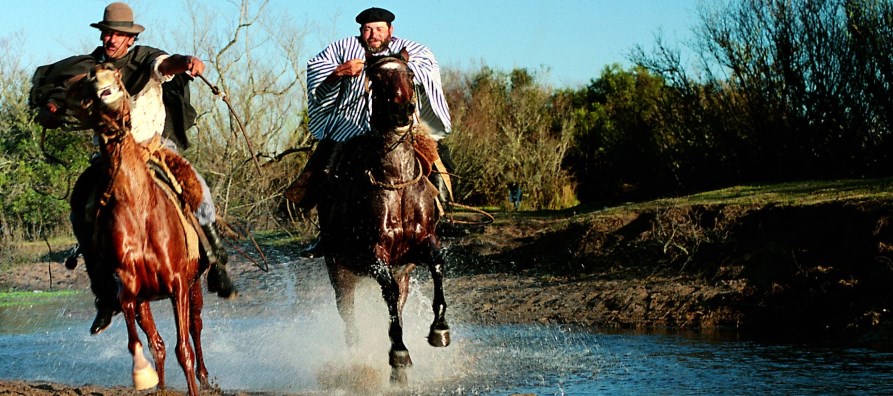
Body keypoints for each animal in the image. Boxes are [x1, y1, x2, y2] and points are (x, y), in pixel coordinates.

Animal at [64, 63, 209, 394]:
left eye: (117, 77)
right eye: (89, 84)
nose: (103, 86)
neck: (140, 209)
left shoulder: (178, 285)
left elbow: (184, 350)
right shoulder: (130, 286)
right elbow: (144, 339)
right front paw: (143, 375)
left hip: (194, 284)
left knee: (195, 329)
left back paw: (206, 378)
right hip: (148, 298)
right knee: (158, 343)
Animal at [316, 51, 450, 382]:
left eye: (410, 76)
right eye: (376, 79)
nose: (403, 111)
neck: (396, 180)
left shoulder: (422, 244)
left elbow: (437, 265)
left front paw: (439, 329)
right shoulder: (374, 254)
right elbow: (387, 291)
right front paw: (399, 352)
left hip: (401, 273)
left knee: (396, 304)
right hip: (340, 274)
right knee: (350, 320)